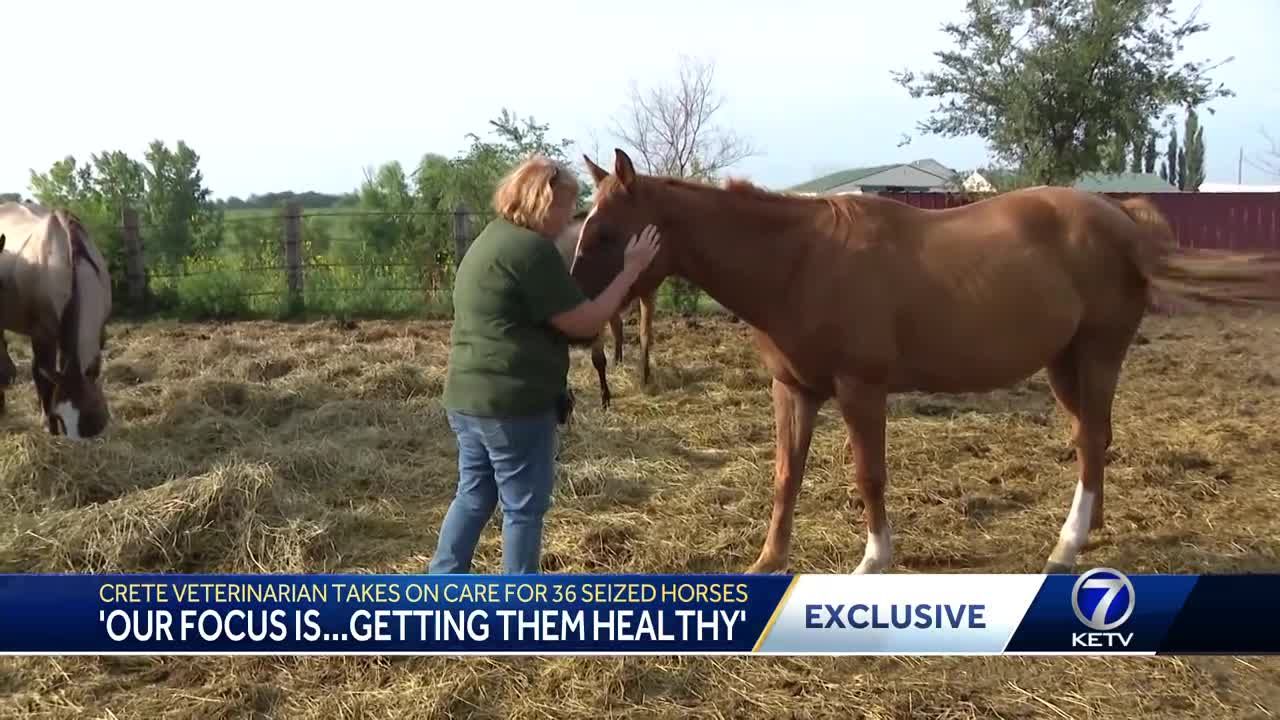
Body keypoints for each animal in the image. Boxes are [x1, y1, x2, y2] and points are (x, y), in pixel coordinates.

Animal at [0, 202, 112, 438]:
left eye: (91, 420)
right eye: (61, 418)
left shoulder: (99, 332)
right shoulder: (43, 335)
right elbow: (42, 377)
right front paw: (48, 425)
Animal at [573, 147, 1280, 571]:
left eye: (606, 231)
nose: (575, 323)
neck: (798, 261)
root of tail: (1121, 219)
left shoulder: (861, 388)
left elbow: (869, 476)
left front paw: (873, 560)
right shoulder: (793, 389)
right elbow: (785, 476)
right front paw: (768, 562)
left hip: (1099, 352)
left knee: (1092, 437)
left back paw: (1067, 544)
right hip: (1062, 363)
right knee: (1092, 439)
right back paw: (1090, 527)